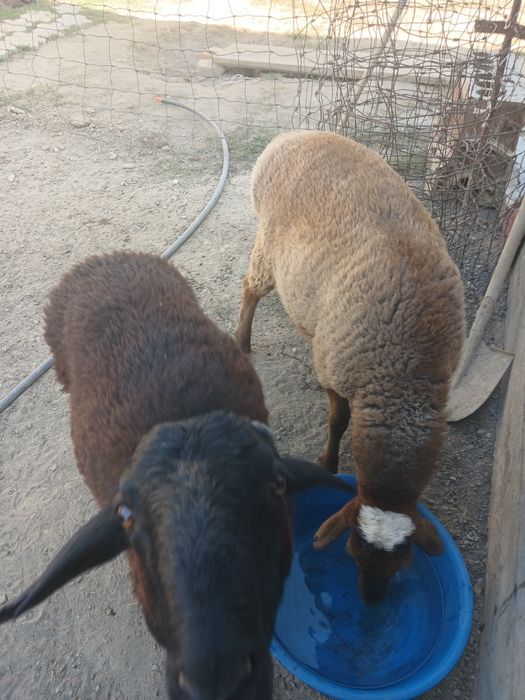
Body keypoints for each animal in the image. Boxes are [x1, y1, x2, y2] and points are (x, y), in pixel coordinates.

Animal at [236, 131, 465, 604]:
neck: (405, 379)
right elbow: (338, 421)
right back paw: (241, 340)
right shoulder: (335, 368)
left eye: (404, 561)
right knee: (250, 288)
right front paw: (327, 462)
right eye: (352, 550)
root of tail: (289, 137)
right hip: (268, 247)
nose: (372, 600)